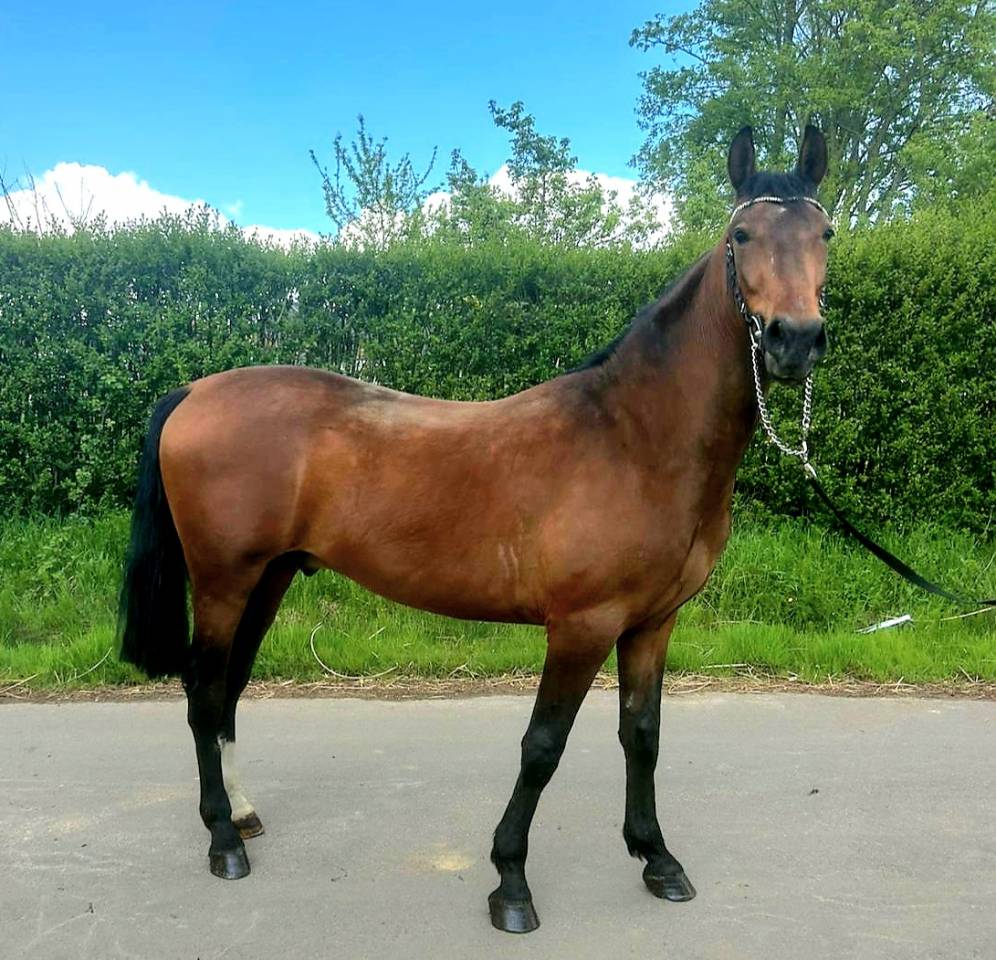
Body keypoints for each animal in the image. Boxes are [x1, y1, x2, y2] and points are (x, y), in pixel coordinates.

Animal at [119, 124, 833, 933]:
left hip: (266, 578)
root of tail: (193, 392)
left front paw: (657, 858)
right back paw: (222, 841)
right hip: (222, 582)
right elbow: (543, 747)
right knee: (204, 689)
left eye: (825, 234)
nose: (795, 340)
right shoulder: (582, 625)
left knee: (230, 688)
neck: (635, 437)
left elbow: (641, 736)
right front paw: (511, 881)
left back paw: (241, 814)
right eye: (741, 236)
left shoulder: (653, 624)